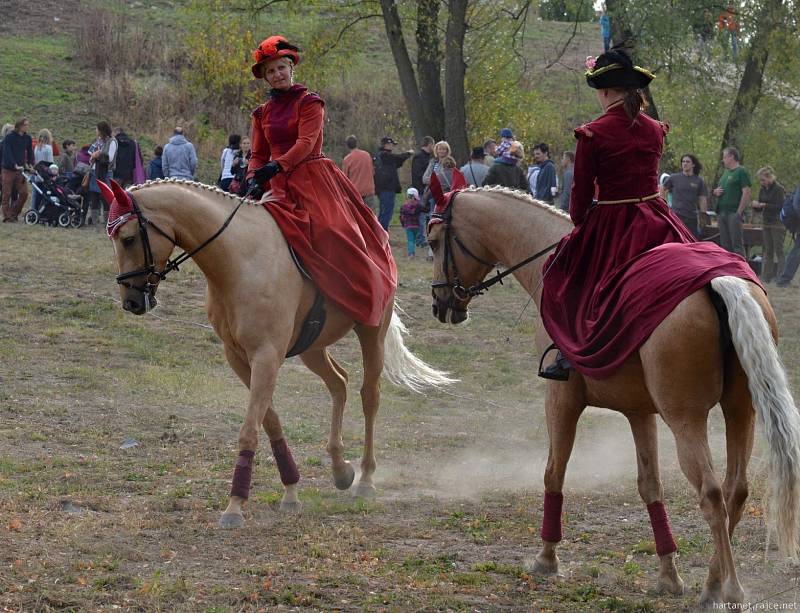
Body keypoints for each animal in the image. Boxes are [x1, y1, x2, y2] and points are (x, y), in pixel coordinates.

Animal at [432, 186, 800, 608]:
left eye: (434, 241)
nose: (440, 304)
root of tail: (719, 282)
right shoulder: (639, 412)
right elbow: (650, 485)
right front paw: (669, 576)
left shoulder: (560, 398)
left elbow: (554, 472)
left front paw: (546, 559)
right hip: (741, 412)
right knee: (735, 490)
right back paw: (712, 582)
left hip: (685, 418)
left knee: (711, 494)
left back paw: (728, 590)